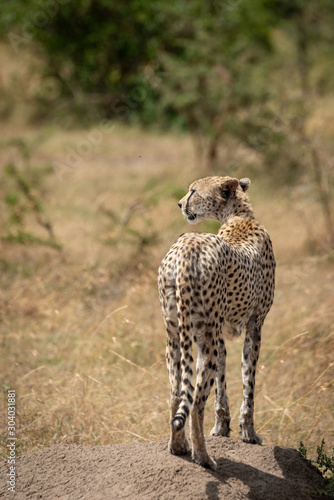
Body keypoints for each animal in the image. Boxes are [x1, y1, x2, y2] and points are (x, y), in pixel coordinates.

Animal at [158, 176, 276, 468]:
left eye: (193, 191)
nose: (179, 204)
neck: (237, 215)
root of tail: (188, 244)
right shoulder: (255, 324)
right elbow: (248, 381)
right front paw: (249, 433)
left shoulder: (218, 331)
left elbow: (222, 380)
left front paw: (222, 428)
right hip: (204, 337)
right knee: (196, 402)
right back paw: (203, 457)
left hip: (175, 335)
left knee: (177, 393)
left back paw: (178, 446)